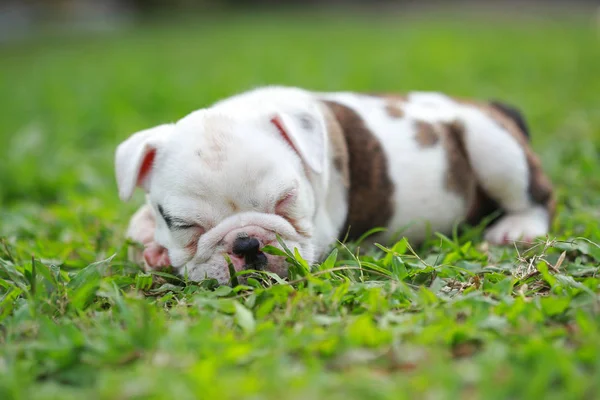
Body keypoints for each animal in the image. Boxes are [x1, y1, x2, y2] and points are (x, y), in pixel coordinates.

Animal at [115, 86, 556, 282]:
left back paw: (518, 227)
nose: (247, 242)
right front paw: (149, 241)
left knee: (538, 196)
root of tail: (490, 107)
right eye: (184, 225)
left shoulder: (319, 229)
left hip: (492, 144)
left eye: (287, 200)